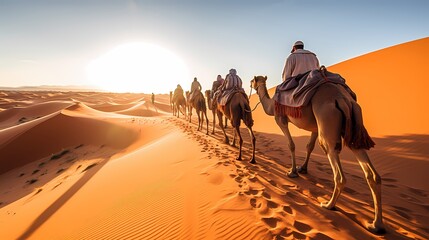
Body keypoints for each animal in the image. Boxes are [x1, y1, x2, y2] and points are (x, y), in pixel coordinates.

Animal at [249, 74, 382, 232]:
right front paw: (303, 169)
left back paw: (329, 205)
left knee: (338, 170)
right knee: (372, 173)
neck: (271, 105)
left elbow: (291, 144)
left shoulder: (280, 118)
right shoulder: (315, 128)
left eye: (252, 80)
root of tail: (343, 99)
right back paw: (375, 224)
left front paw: (292, 172)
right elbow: (309, 146)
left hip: (327, 121)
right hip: (353, 127)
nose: (249, 84)